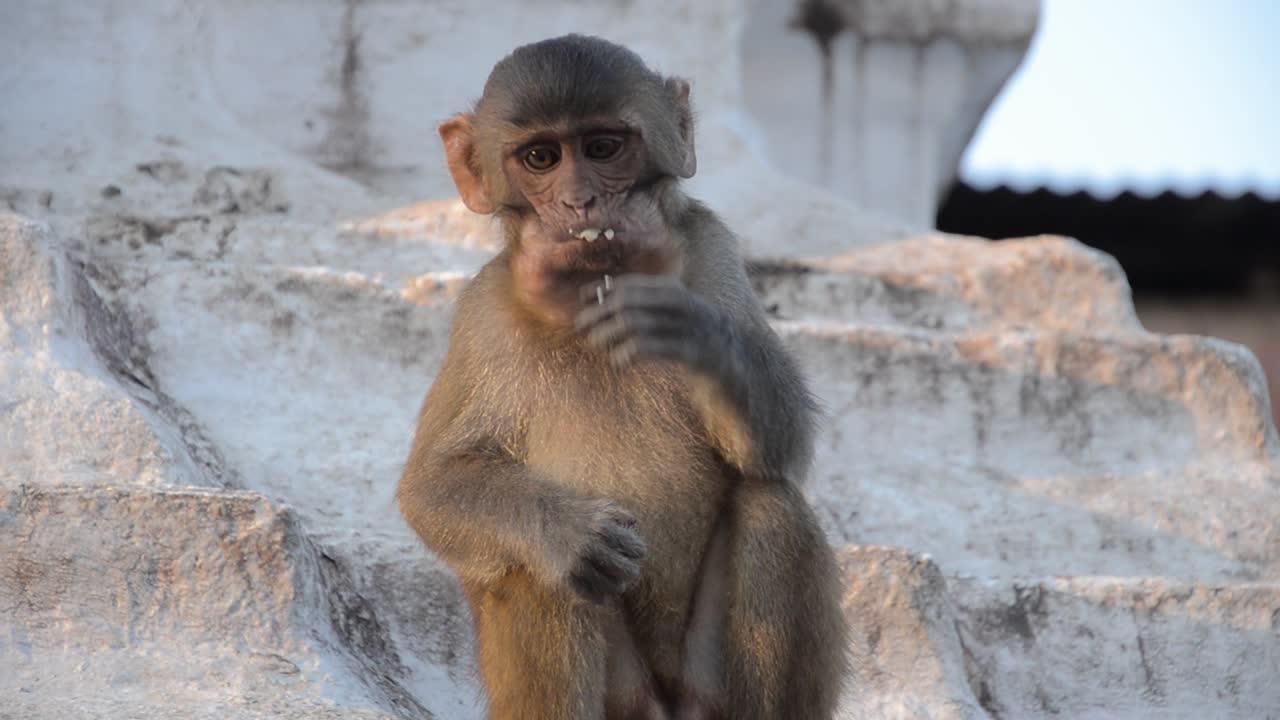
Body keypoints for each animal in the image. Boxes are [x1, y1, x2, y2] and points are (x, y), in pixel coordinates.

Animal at [397, 35, 848, 720]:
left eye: (603, 147)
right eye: (541, 157)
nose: (582, 203)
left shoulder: (711, 248)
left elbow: (783, 443)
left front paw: (690, 329)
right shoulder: (482, 319)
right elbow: (432, 484)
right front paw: (566, 531)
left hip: (702, 684)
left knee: (772, 508)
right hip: (628, 696)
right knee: (543, 573)